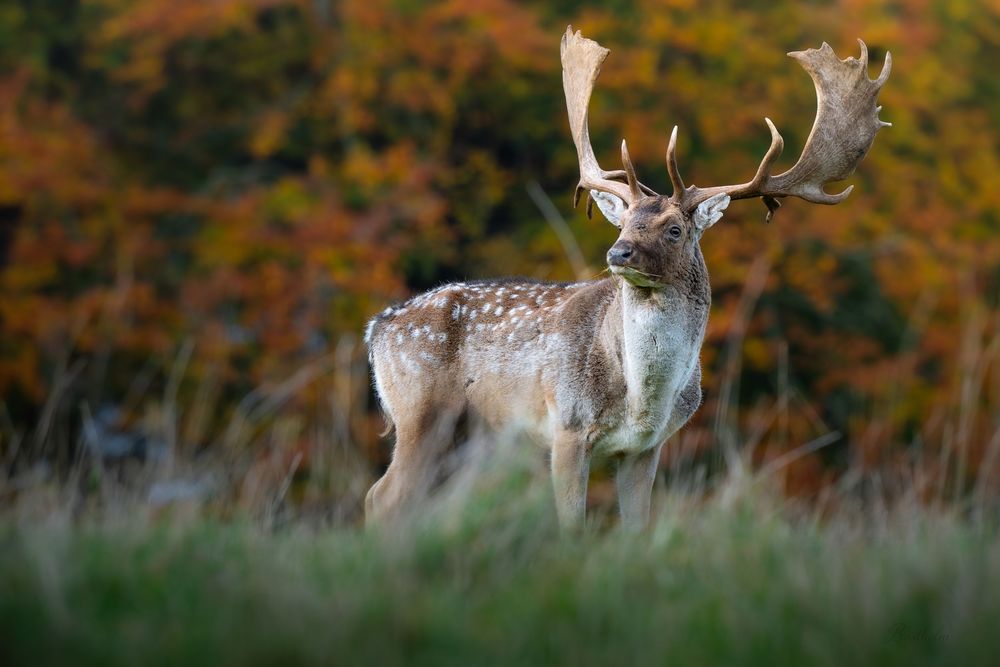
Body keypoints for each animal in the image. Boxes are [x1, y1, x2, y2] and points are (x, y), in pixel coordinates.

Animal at [363, 27, 890, 529]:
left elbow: (636, 528)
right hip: (421, 412)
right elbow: (572, 527)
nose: (617, 252)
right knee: (384, 498)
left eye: (674, 229)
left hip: (467, 438)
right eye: (623, 222)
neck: (641, 400)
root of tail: (377, 328)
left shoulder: (645, 448)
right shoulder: (567, 426)